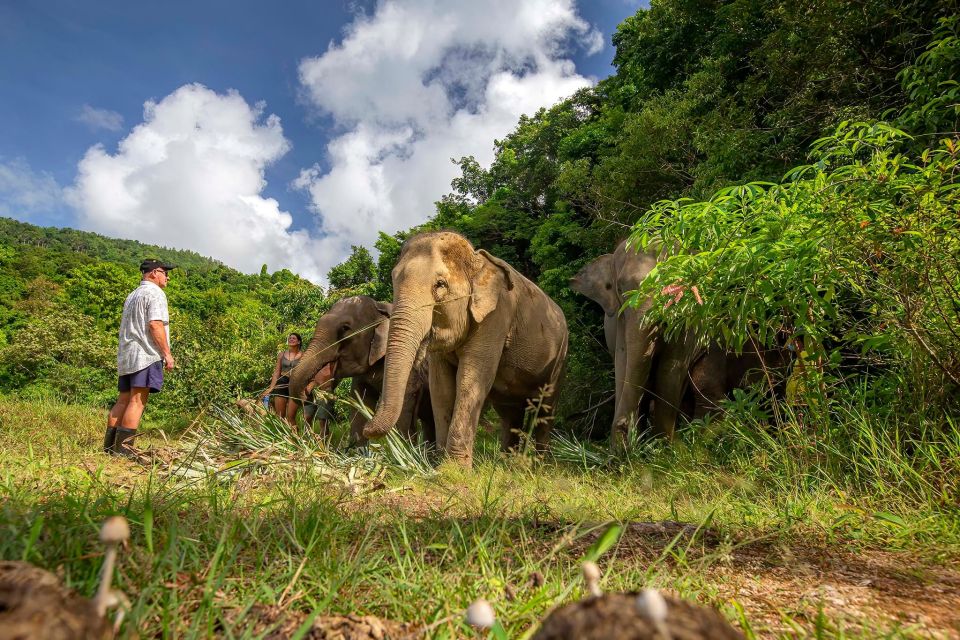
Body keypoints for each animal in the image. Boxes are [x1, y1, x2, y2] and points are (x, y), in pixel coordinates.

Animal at [286, 298, 434, 448]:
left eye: (345, 328)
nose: (309, 394)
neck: (380, 306)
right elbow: (360, 402)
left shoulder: (411, 365)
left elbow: (404, 409)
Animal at [364, 230, 568, 464]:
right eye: (394, 280)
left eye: (440, 284)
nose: (366, 429)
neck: (476, 259)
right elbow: (441, 388)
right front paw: (439, 463)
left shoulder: (496, 317)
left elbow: (470, 378)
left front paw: (453, 467)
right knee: (510, 414)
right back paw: (509, 464)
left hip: (560, 359)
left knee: (545, 409)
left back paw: (539, 465)